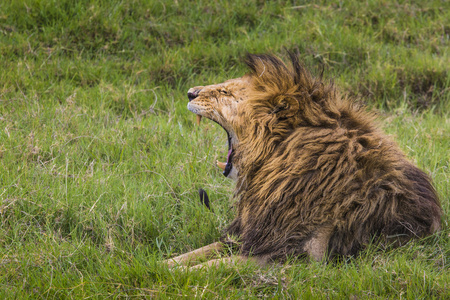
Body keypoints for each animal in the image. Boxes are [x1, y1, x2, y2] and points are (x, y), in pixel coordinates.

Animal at [164, 52, 440, 270]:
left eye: (225, 92)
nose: (189, 93)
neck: (276, 157)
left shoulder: (293, 254)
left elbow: (212, 266)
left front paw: (168, 274)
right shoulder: (254, 235)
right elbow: (197, 253)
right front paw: (158, 264)